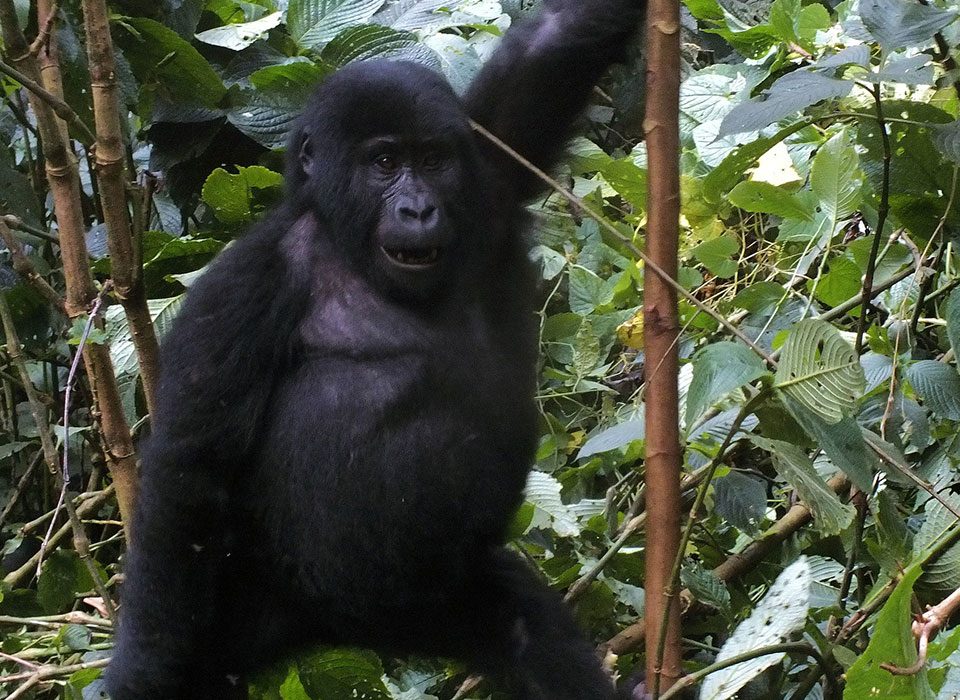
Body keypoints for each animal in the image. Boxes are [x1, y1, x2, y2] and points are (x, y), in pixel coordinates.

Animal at [105, 2, 644, 696]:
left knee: (527, 631)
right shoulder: (242, 286)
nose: (418, 209)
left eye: (433, 160)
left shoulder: (485, 179)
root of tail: (332, 628)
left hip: (439, 601)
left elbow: (555, 49)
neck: (350, 246)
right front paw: (145, 671)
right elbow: (189, 471)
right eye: (384, 162)